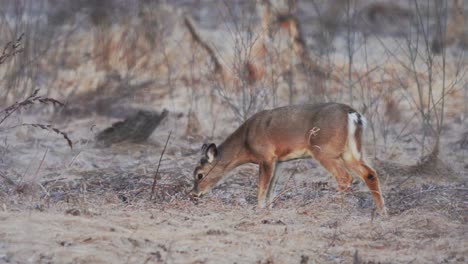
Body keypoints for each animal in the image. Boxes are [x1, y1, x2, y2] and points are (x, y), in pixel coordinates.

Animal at [188, 102, 386, 213]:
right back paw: (381, 211)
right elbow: (271, 188)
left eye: (199, 174)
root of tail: (353, 114)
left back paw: (336, 206)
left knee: (345, 177)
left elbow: (262, 187)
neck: (245, 143)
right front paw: (268, 208)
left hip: (324, 150)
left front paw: (258, 208)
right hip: (351, 150)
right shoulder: (279, 161)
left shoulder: (266, 156)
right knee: (369, 173)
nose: (194, 194)